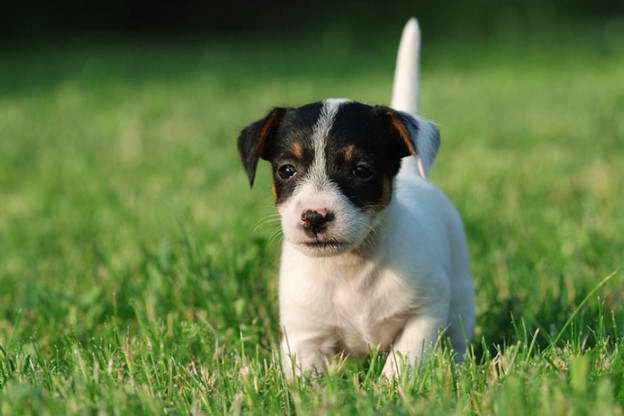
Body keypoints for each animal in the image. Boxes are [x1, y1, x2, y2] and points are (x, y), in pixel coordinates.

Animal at [236, 18, 476, 376]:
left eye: (361, 170)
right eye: (286, 170)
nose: (314, 216)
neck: (350, 269)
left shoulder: (424, 316)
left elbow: (403, 362)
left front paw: (393, 387)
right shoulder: (304, 337)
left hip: (460, 290)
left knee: (460, 332)